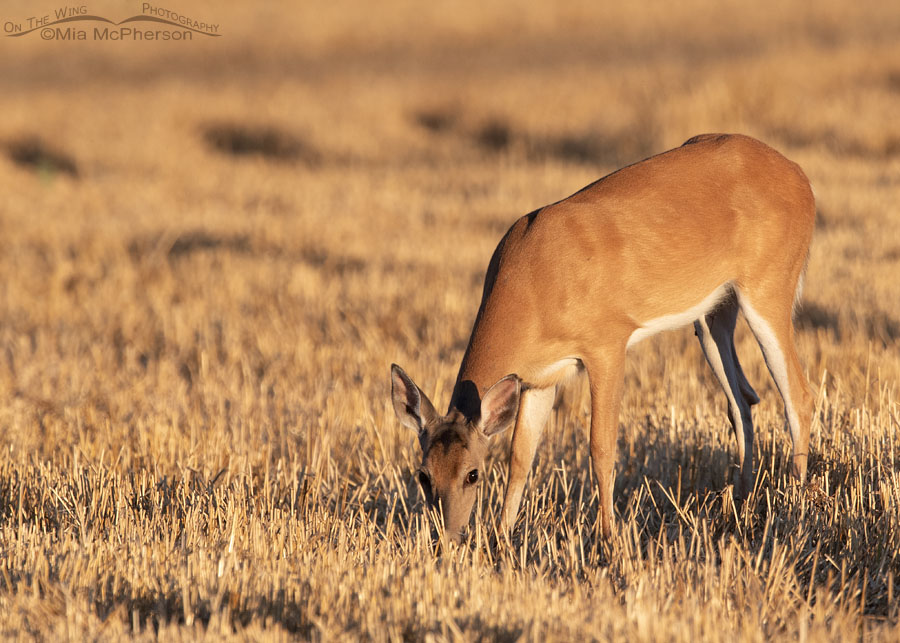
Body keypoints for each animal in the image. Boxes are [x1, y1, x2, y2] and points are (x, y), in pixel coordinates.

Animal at [390, 135, 812, 544]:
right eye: (423, 475)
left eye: (473, 474)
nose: (449, 538)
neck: (534, 286)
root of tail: (799, 176)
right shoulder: (540, 378)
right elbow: (520, 457)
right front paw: (501, 537)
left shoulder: (607, 342)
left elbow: (601, 446)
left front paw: (609, 539)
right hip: (712, 315)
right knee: (742, 401)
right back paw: (741, 500)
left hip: (770, 286)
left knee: (798, 394)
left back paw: (797, 504)